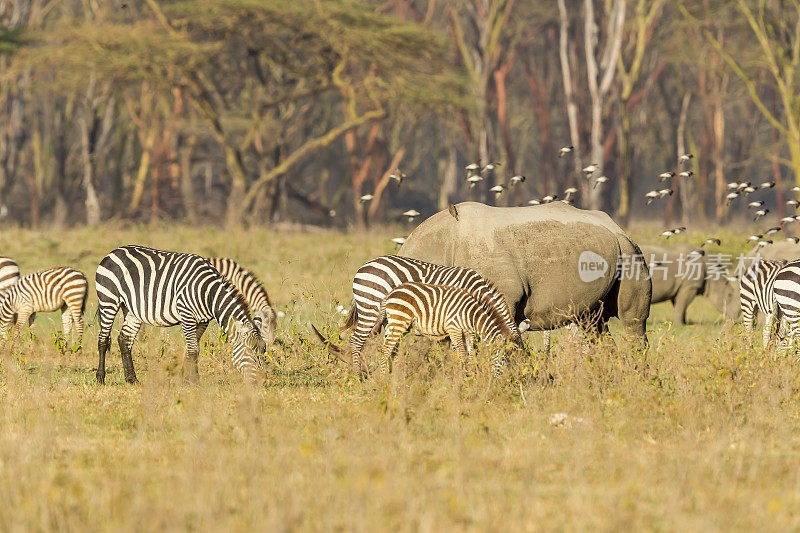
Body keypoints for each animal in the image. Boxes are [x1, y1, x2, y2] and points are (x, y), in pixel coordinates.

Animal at [95, 245, 268, 382]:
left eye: (263, 352)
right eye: (252, 353)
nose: (263, 382)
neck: (208, 293)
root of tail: (114, 251)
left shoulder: (203, 321)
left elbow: (193, 348)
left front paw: (184, 379)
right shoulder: (187, 315)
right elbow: (193, 350)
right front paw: (194, 381)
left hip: (132, 310)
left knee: (124, 340)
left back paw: (132, 379)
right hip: (108, 300)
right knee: (103, 339)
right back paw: (100, 378)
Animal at [376, 282, 520, 374]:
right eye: (503, 359)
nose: (501, 379)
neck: (471, 314)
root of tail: (391, 292)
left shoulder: (467, 332)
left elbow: (471, 355)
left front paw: (472, 375)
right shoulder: (454, 328)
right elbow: (462, 354)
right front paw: (462, 378)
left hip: (398, 326)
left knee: (391, 350)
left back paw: (394, 377)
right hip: (398, 322)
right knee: (386, 350)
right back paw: (384, 379)